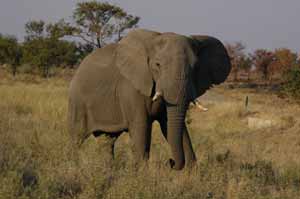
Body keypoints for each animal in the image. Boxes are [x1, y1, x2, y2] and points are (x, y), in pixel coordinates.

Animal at [68, 29, 232, 169]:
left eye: (196, 67)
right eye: (157, 65)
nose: (170, 162)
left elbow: (170, 125)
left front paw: (192, 170)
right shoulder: (131, 88)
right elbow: (141, 126)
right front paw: (141, 174)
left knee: (107, 140)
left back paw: (107, 170)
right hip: (77, 102)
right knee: (77, 138)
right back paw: (73, 167)